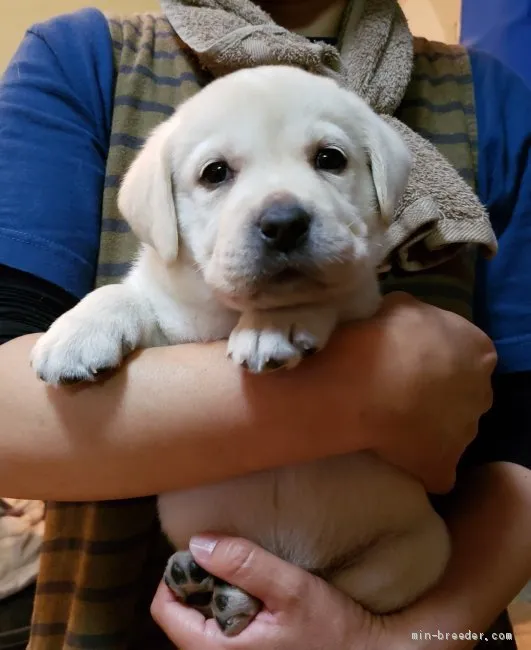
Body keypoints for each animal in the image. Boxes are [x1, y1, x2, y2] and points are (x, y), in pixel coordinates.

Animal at [31, 64, 450, 632]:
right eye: (215, 173)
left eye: (330, 159)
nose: (284, 223)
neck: (227, 309)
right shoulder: (173, 323)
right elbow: (125, 294)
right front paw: (76, 333)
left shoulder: (362, 297)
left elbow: (323, 290)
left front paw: (273, 322)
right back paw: (199, 580)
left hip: (414, 554)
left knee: (337, 586)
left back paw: (232, 594)